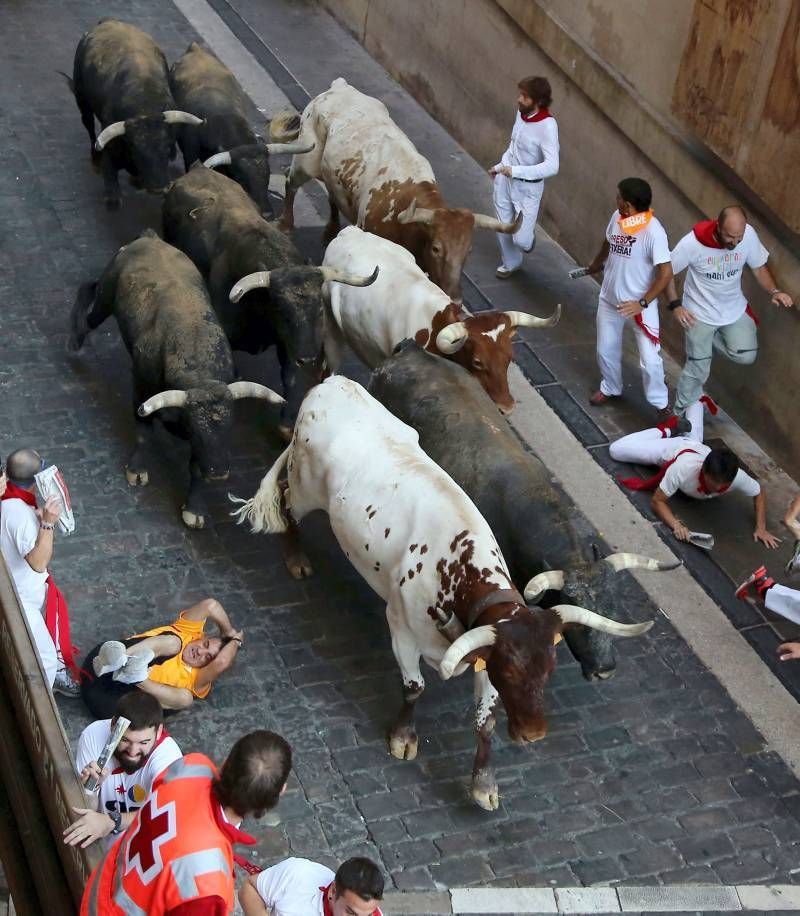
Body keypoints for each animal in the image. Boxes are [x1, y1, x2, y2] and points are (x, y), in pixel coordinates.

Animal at [233, 378, 656, 808]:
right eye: (510, 670)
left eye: (549, 668)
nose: (534, 733)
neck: (458, 573)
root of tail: (332, 383)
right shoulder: (401, 630)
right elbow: (414, 688)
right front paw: (403, 737)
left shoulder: (483, 649)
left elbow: (485, 722)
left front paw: (484, 783)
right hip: (304, 486)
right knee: (287, 502)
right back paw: (296, 557)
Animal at [270, 78, 520, 300]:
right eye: (436, 248)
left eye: (467, 252)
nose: (456, 299)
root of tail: (340, 86)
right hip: (306, 159)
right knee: (291, 183)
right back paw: (285, 224)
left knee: (332, 194)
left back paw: (331, 231)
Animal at [318, 227, 556, 414]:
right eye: (478, 362)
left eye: (509, 358)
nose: (506, 407)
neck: (436, 324)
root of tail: (350, 232)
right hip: (330, 328)